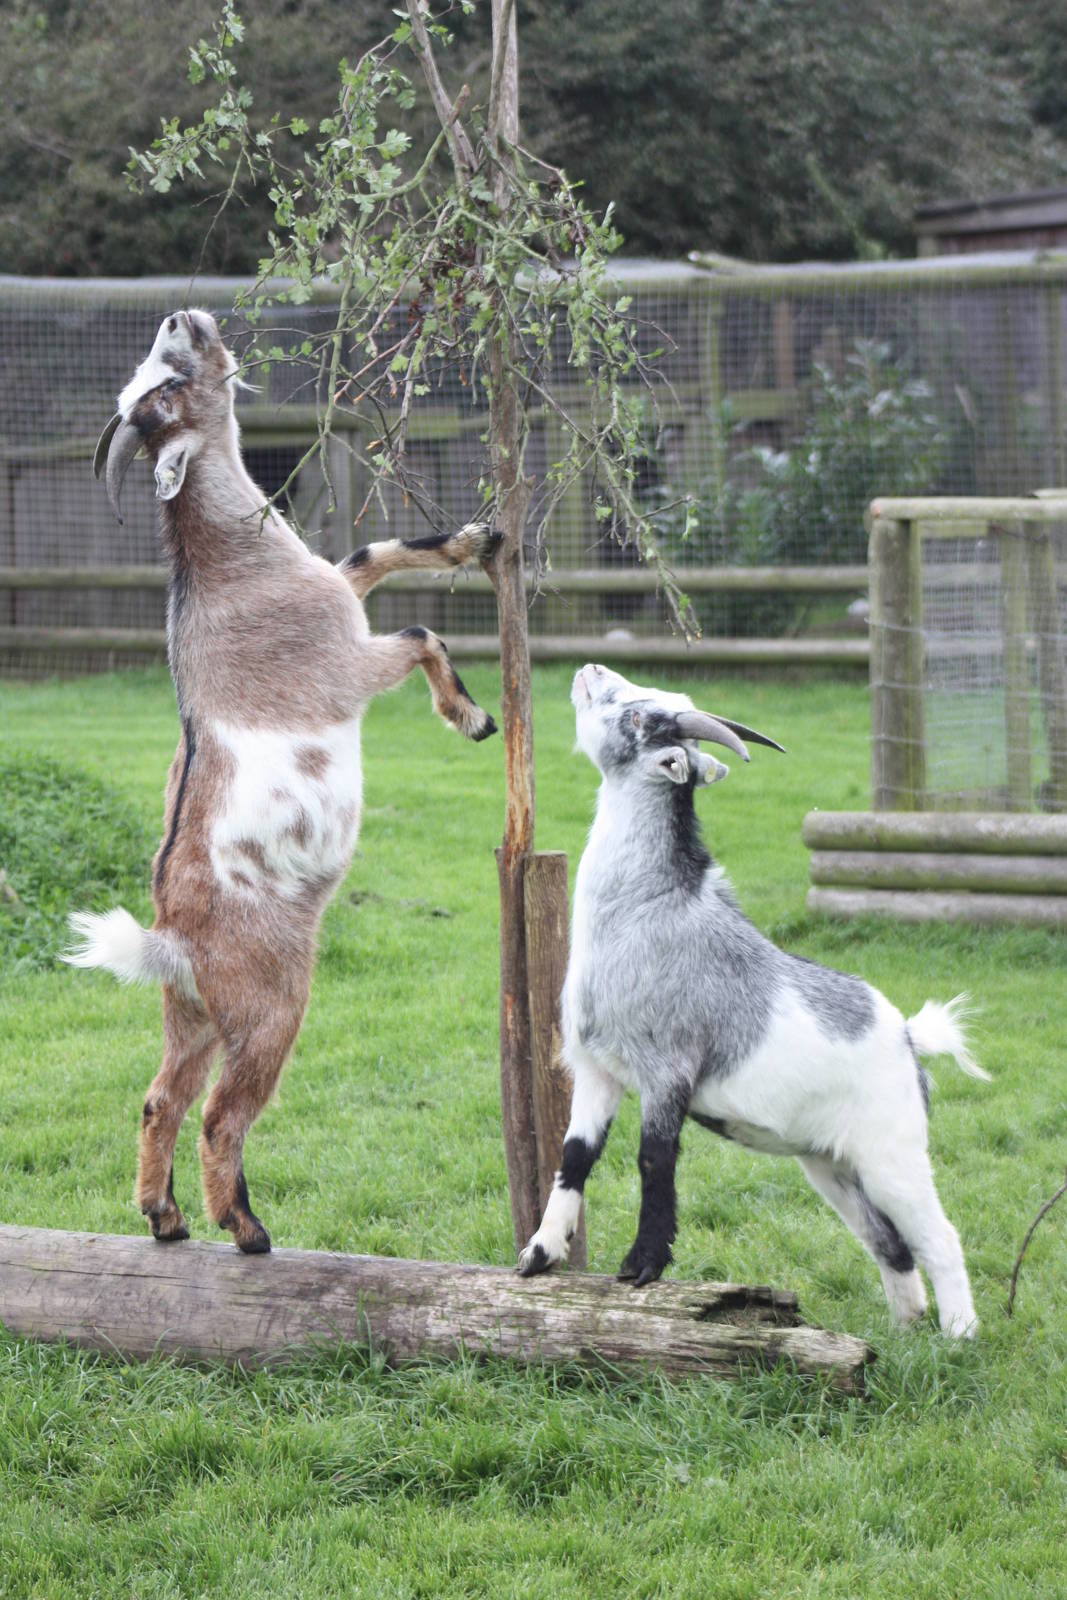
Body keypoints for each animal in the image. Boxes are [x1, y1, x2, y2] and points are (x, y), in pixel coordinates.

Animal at [67, 307, 499, 1254]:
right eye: (165, 385)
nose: (180, 316)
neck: (233, 566)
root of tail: (174, 939)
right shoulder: (349, 666)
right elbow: (421, 634)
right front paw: (472, 717)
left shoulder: (339, 586)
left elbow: (376, 550)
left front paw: (476, 539)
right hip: (269, 1009)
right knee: (220, 1116)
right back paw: (246, 1228)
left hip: (190, 1016)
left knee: (159, 1097)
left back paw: (164, 1219)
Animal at [518, 664, 988, 1337]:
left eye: (639, 715)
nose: (591, 670)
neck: (647, 910)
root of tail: (907, 1037)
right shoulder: (598, 1069)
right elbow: (576, 1155)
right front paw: (539, 1254)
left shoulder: (668, 1070)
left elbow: (653, 1159)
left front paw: (641, 1267)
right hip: (831, 1163)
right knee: (888, 1242)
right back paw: (904, 1333)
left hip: (892, 1153)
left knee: (939, 1236)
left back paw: (958, 1338)